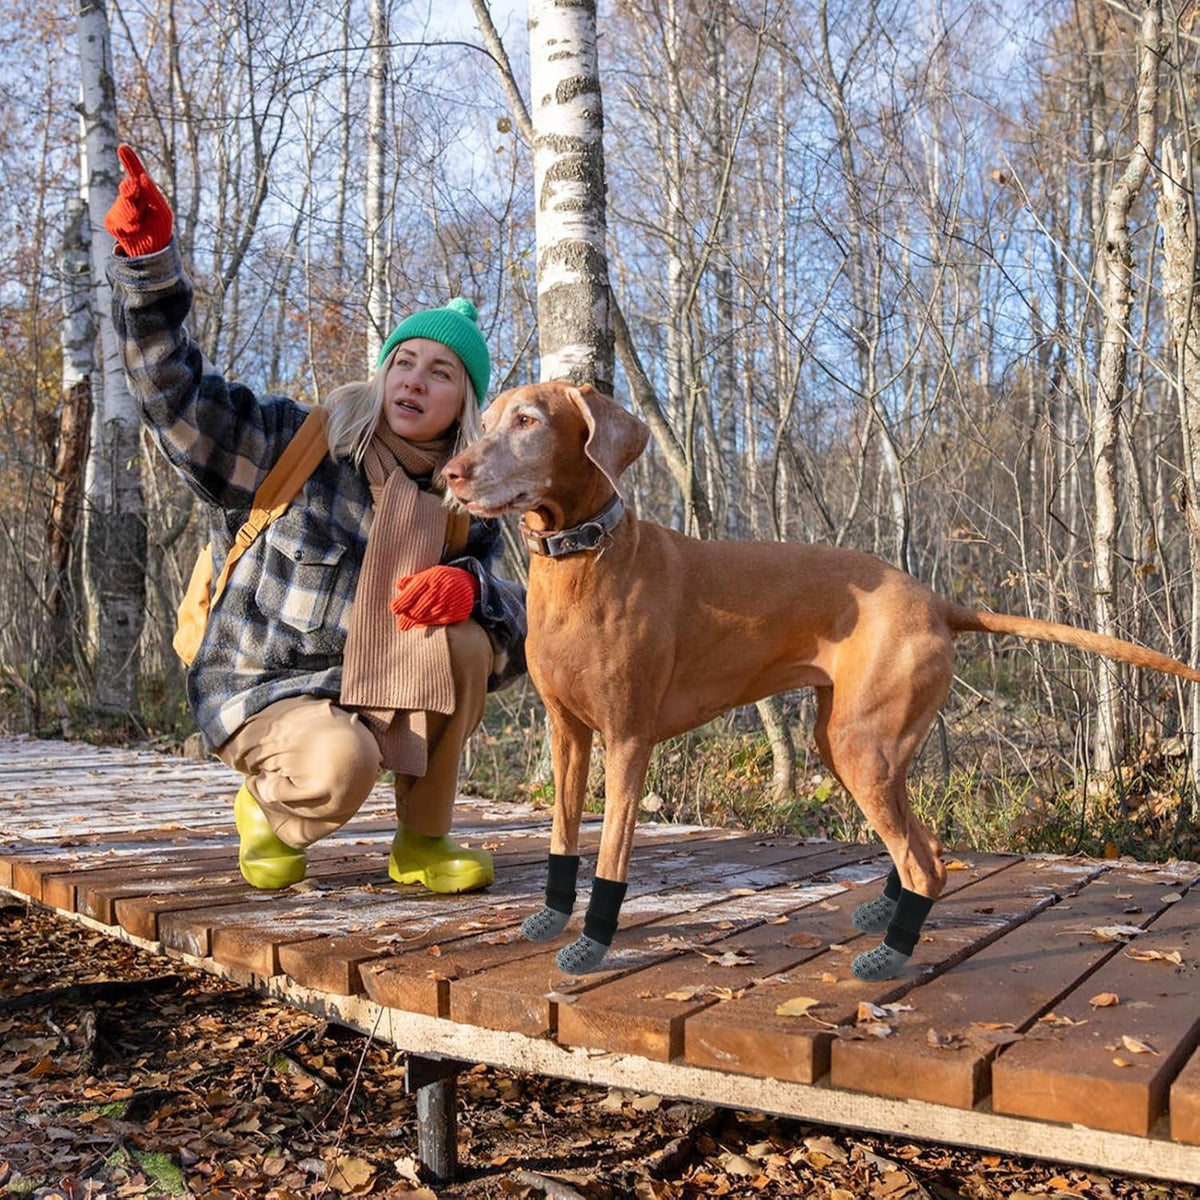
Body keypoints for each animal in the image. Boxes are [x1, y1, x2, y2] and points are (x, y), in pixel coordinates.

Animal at [441, 384, 1200, 984]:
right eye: (489, 417)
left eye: (528, 420)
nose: (450, 471)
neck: (583, 561)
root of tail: (937, 602)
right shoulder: (567, 732)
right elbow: (563, 835)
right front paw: (550, 917)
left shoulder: (629, 740)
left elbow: (610, 854)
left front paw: (593, 944)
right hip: (849, 742)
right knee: (923, 847)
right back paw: (885, 912)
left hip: (861, 745)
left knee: (927, 863)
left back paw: (890, 955)